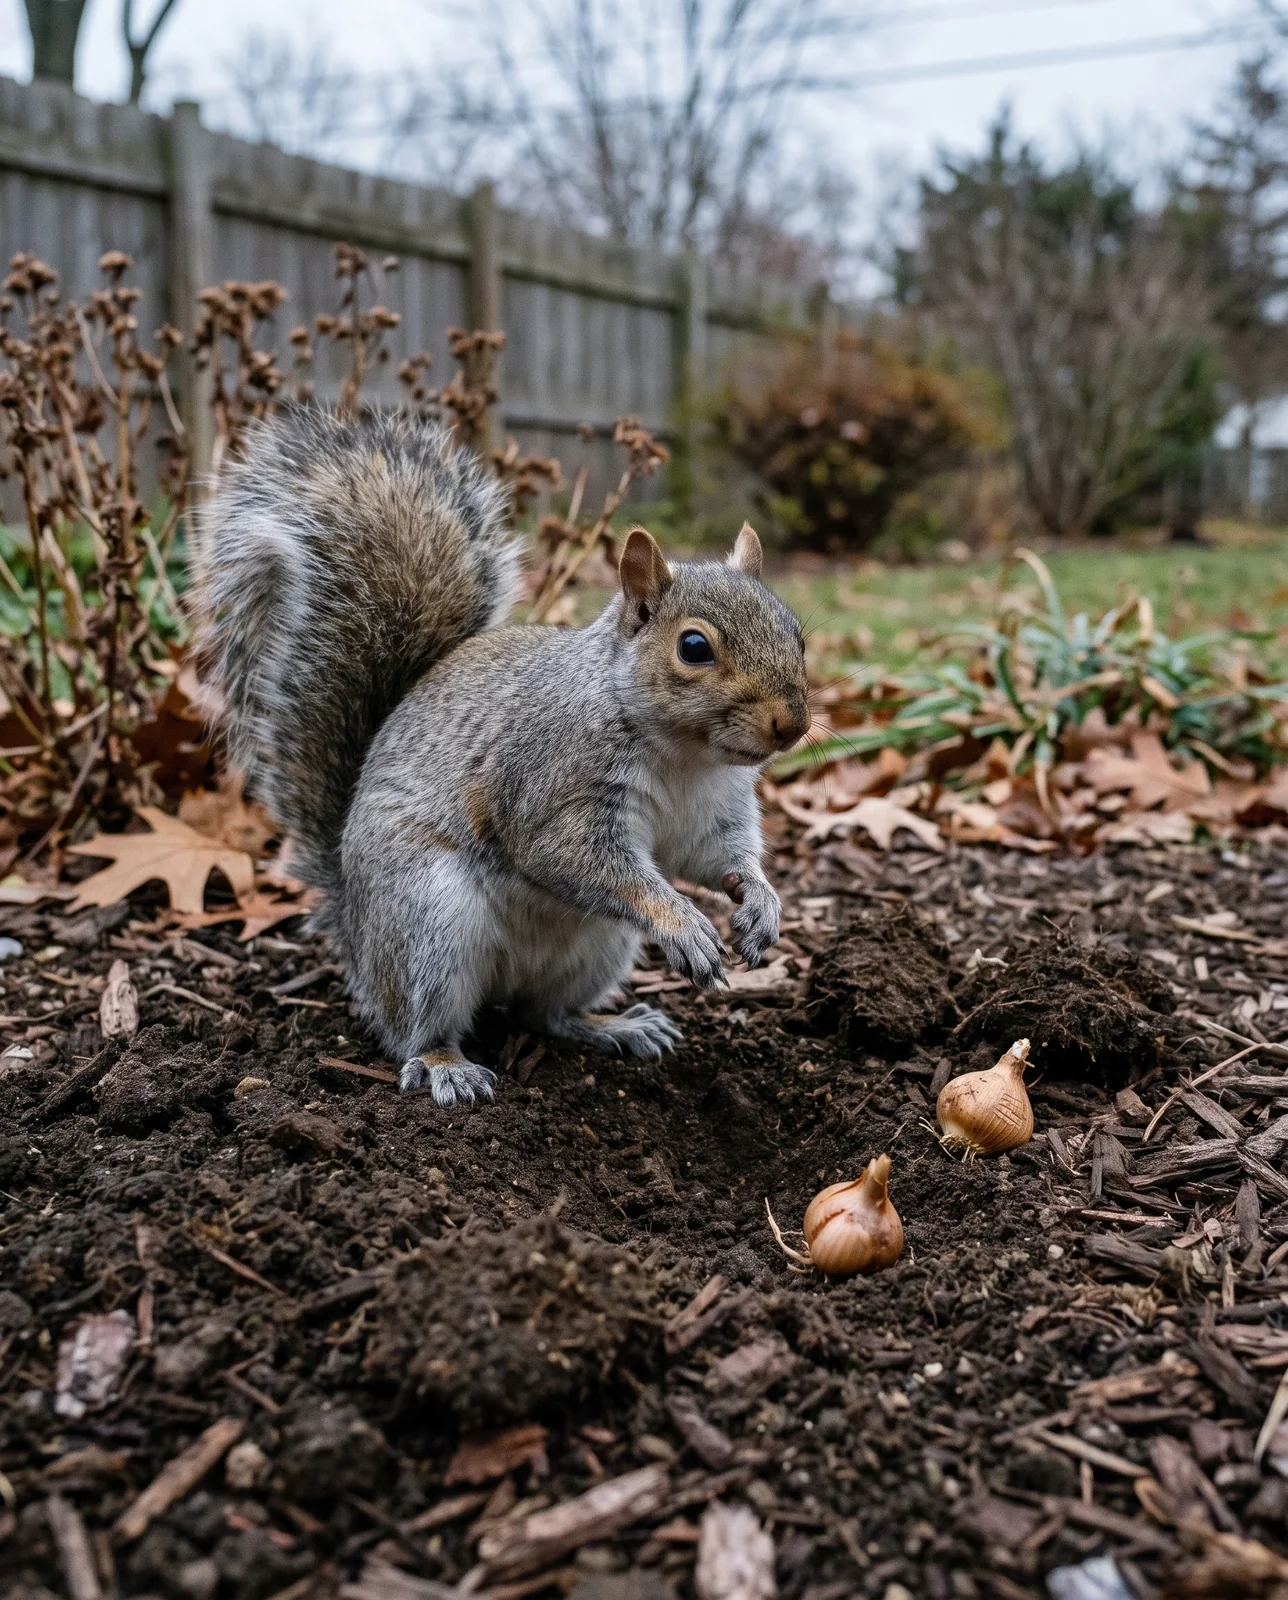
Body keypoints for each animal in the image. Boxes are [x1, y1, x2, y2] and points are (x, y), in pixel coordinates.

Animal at [195, 409, 810, 1106]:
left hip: (597, 946)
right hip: (429, 922)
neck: (687, 757)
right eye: (694, 648)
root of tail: (355, 930)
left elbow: (716, 856)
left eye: (796, 633)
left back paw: (611, 1026)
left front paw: (759, 901)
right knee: (416, 1028)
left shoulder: (715, 809)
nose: (793, 723)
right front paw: (681, 922)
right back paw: (446, 1064)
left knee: (542, 1014)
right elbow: (577, 859)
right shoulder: (552, 782)